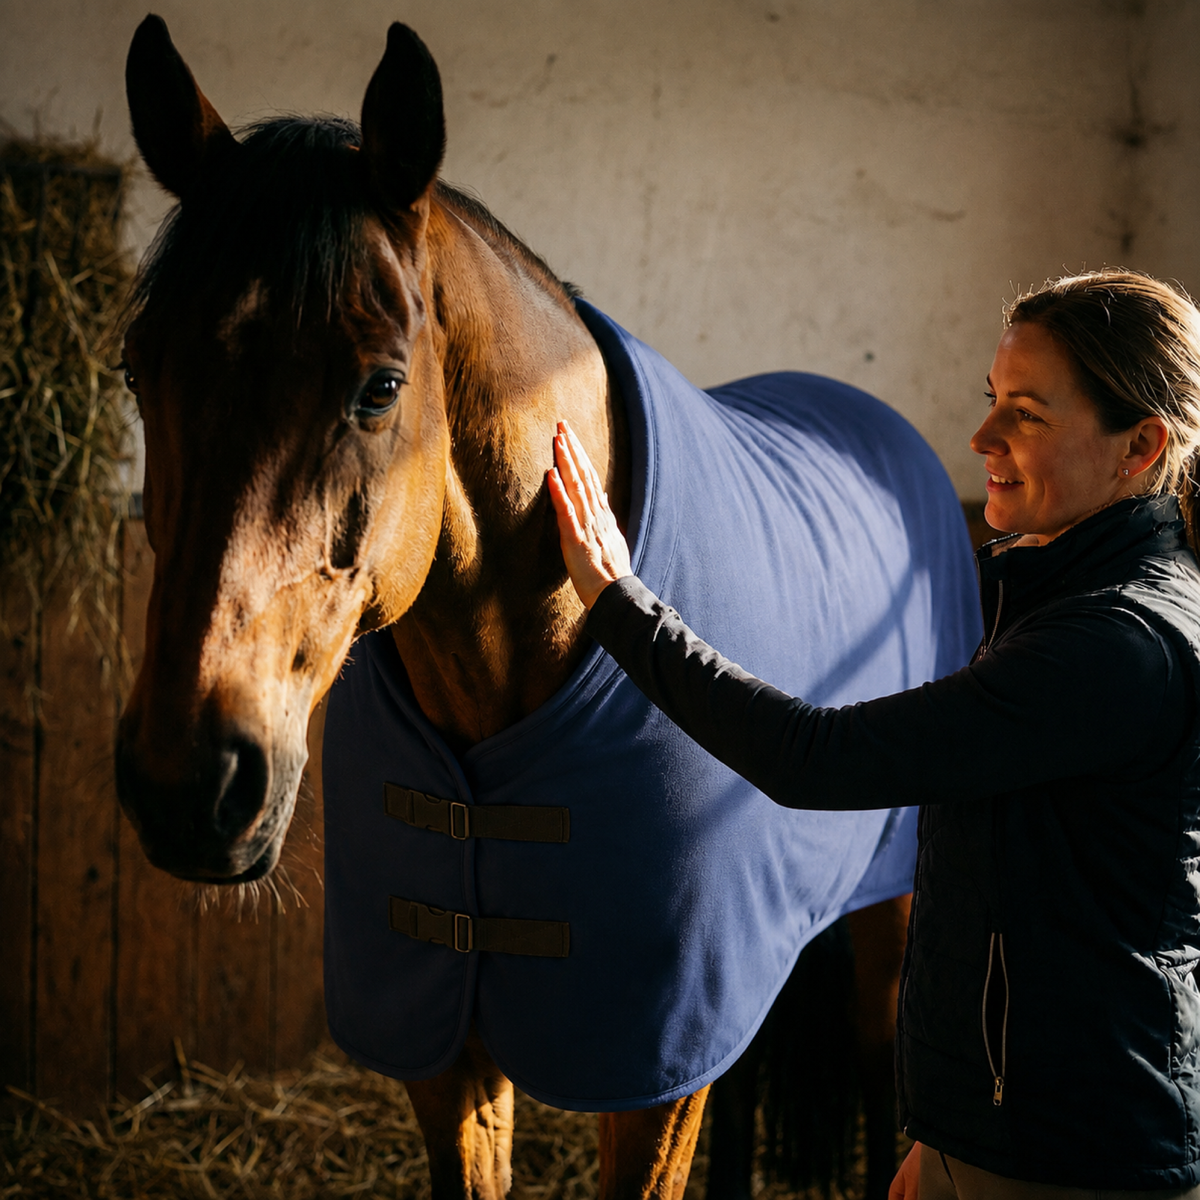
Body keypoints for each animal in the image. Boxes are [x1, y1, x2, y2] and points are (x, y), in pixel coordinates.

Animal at [115, 16, 982, 1199]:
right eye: (135, 367)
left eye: (380, 387)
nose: (187, 783)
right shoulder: (446, 1041)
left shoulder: (656, 1070)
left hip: (888, 910)